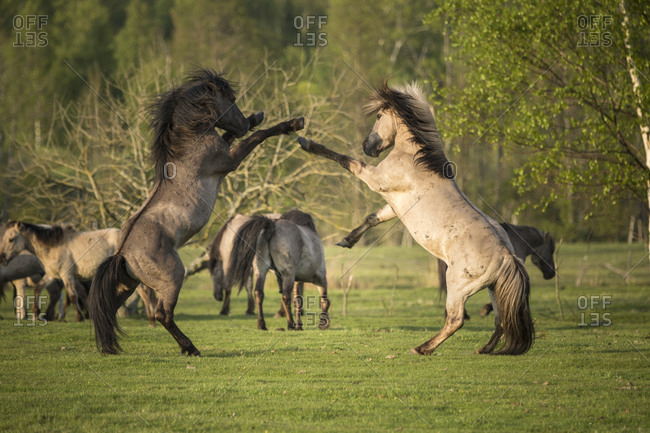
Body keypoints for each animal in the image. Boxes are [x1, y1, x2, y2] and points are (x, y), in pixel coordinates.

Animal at [0, 222, 157, 324]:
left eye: (11, 239)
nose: (2, 258)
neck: (53, 246)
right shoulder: (52, 275)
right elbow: (38, 289)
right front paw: (37, 313)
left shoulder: (67, 275)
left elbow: (72, 296)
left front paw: (78, 318)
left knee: (145, 294)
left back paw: (151, 320)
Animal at [88, 68, 304, 355]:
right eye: (230, 99)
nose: (242, 123)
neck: (189, 144)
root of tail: (122, 252)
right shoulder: (230, 161)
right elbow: (258, 137)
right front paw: (292, 123)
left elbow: (234, 136)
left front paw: (256, 117)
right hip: (173, 278)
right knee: (163, 314)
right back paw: (190, 348)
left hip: (128, 284)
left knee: (111, 310)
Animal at [298, 82, 534, 355]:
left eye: (378, 116)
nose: (367, 146)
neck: (415, 159)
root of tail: (507, 256)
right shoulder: (394, 204)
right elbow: (373, 218)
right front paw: (347, 240)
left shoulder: (376, 180)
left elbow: (346, 161)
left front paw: (306, 141)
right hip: (492, 289)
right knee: (500, 320)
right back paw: (484, 349)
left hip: (457, 285)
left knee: (456, 320)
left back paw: (422, 348)